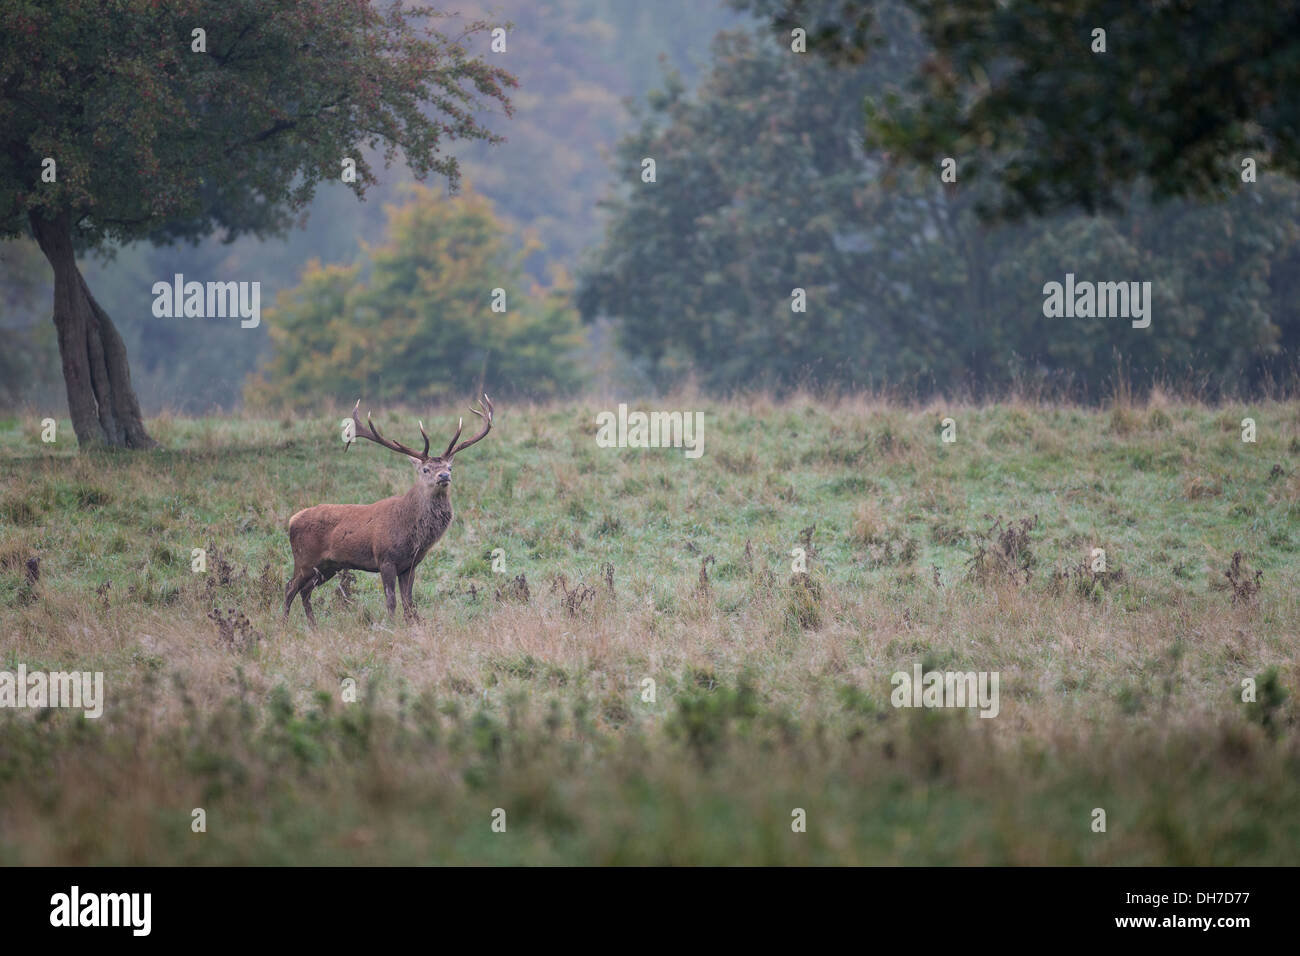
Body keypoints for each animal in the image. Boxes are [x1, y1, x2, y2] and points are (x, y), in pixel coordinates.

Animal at [283, 394, 494, 626]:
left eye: (450, 467)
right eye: (426, 469)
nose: (444, 476)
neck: (411, 533)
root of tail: (292, 520)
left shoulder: (410, 565)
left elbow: (409, 602)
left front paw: (412, 625)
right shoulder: (385, 558)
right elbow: (391, 601)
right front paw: (392, 627)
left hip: (328, 566)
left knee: (305, 591)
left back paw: (313, 626)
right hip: (304, 558)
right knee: (289, 587)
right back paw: (283, 624)